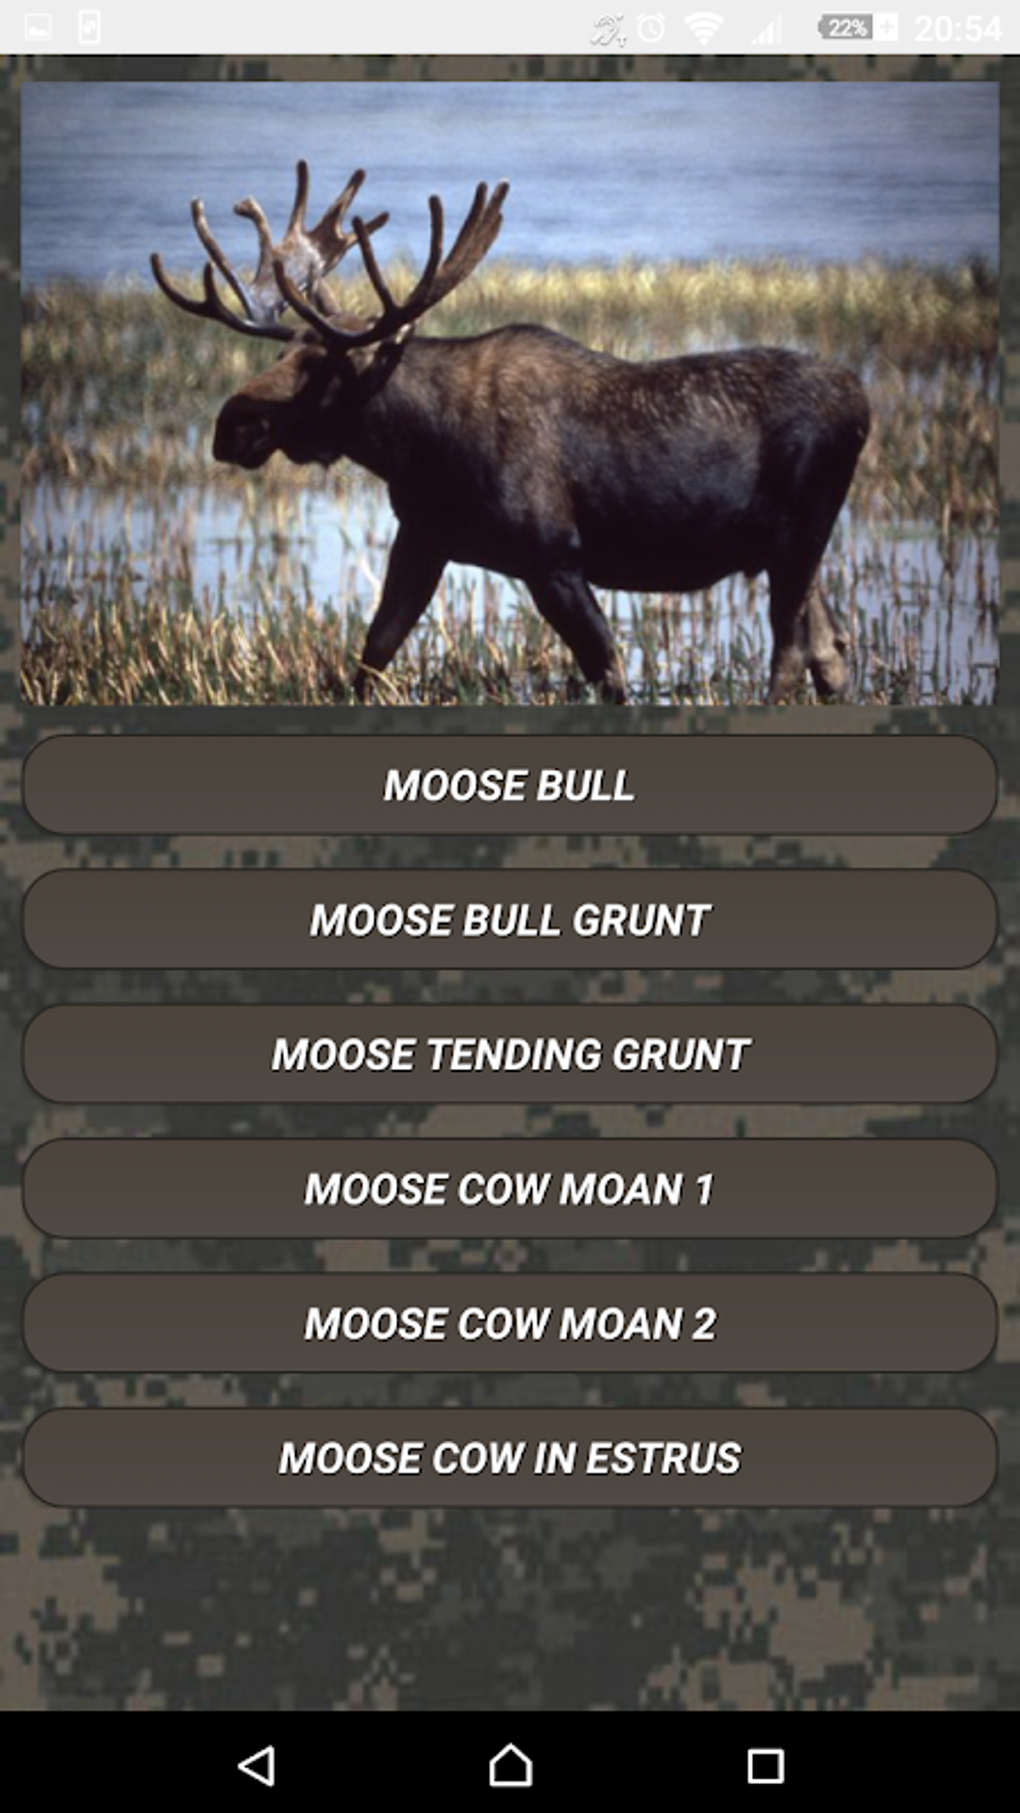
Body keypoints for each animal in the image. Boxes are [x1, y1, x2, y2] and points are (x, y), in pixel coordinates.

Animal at [152, 162, 870, 704]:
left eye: (326, 366)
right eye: (282, 351)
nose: (231, 424)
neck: (419, 447)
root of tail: (863, 402)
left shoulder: (553, 558)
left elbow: (612, 674)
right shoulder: (424, 538)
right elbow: (373, 652)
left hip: (800, 535)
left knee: (791, 652)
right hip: (786, 548)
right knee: (830, 649)